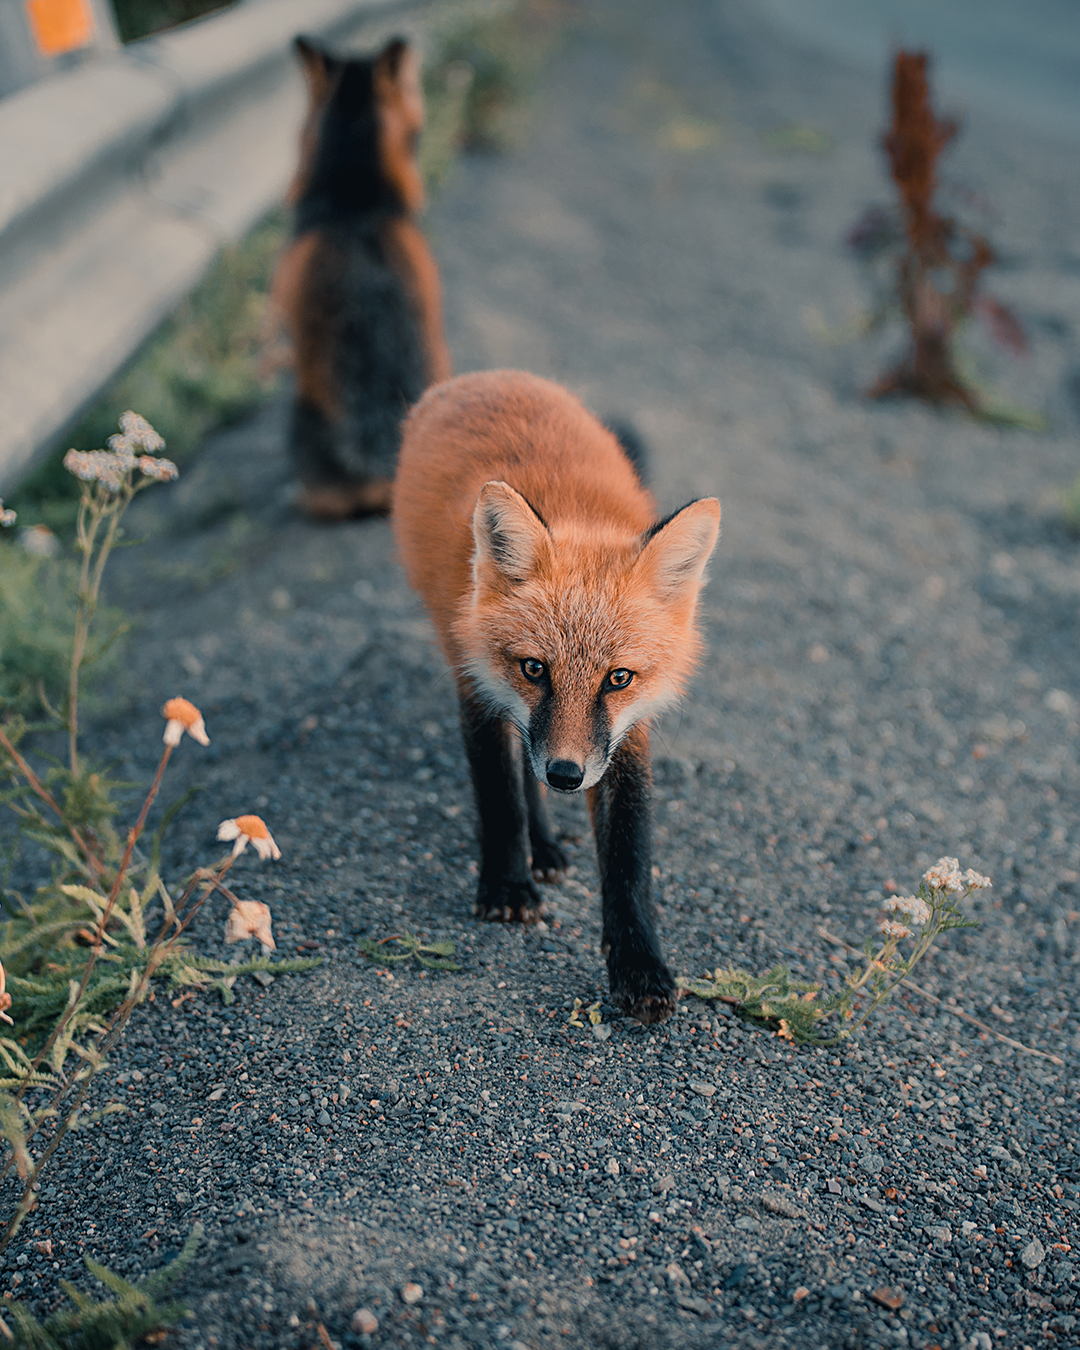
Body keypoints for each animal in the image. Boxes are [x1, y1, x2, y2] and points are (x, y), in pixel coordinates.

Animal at [391, 372, 723, 1020]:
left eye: (618, 678)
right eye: (535, 668)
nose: (567, 776)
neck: (578, 515)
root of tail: (481, 379)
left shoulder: (625, 732)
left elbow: (629, 854)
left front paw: (639, 964)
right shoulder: (479, 685)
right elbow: (501, 796)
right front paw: (505, 886)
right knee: (521, 772)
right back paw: (535, 848)